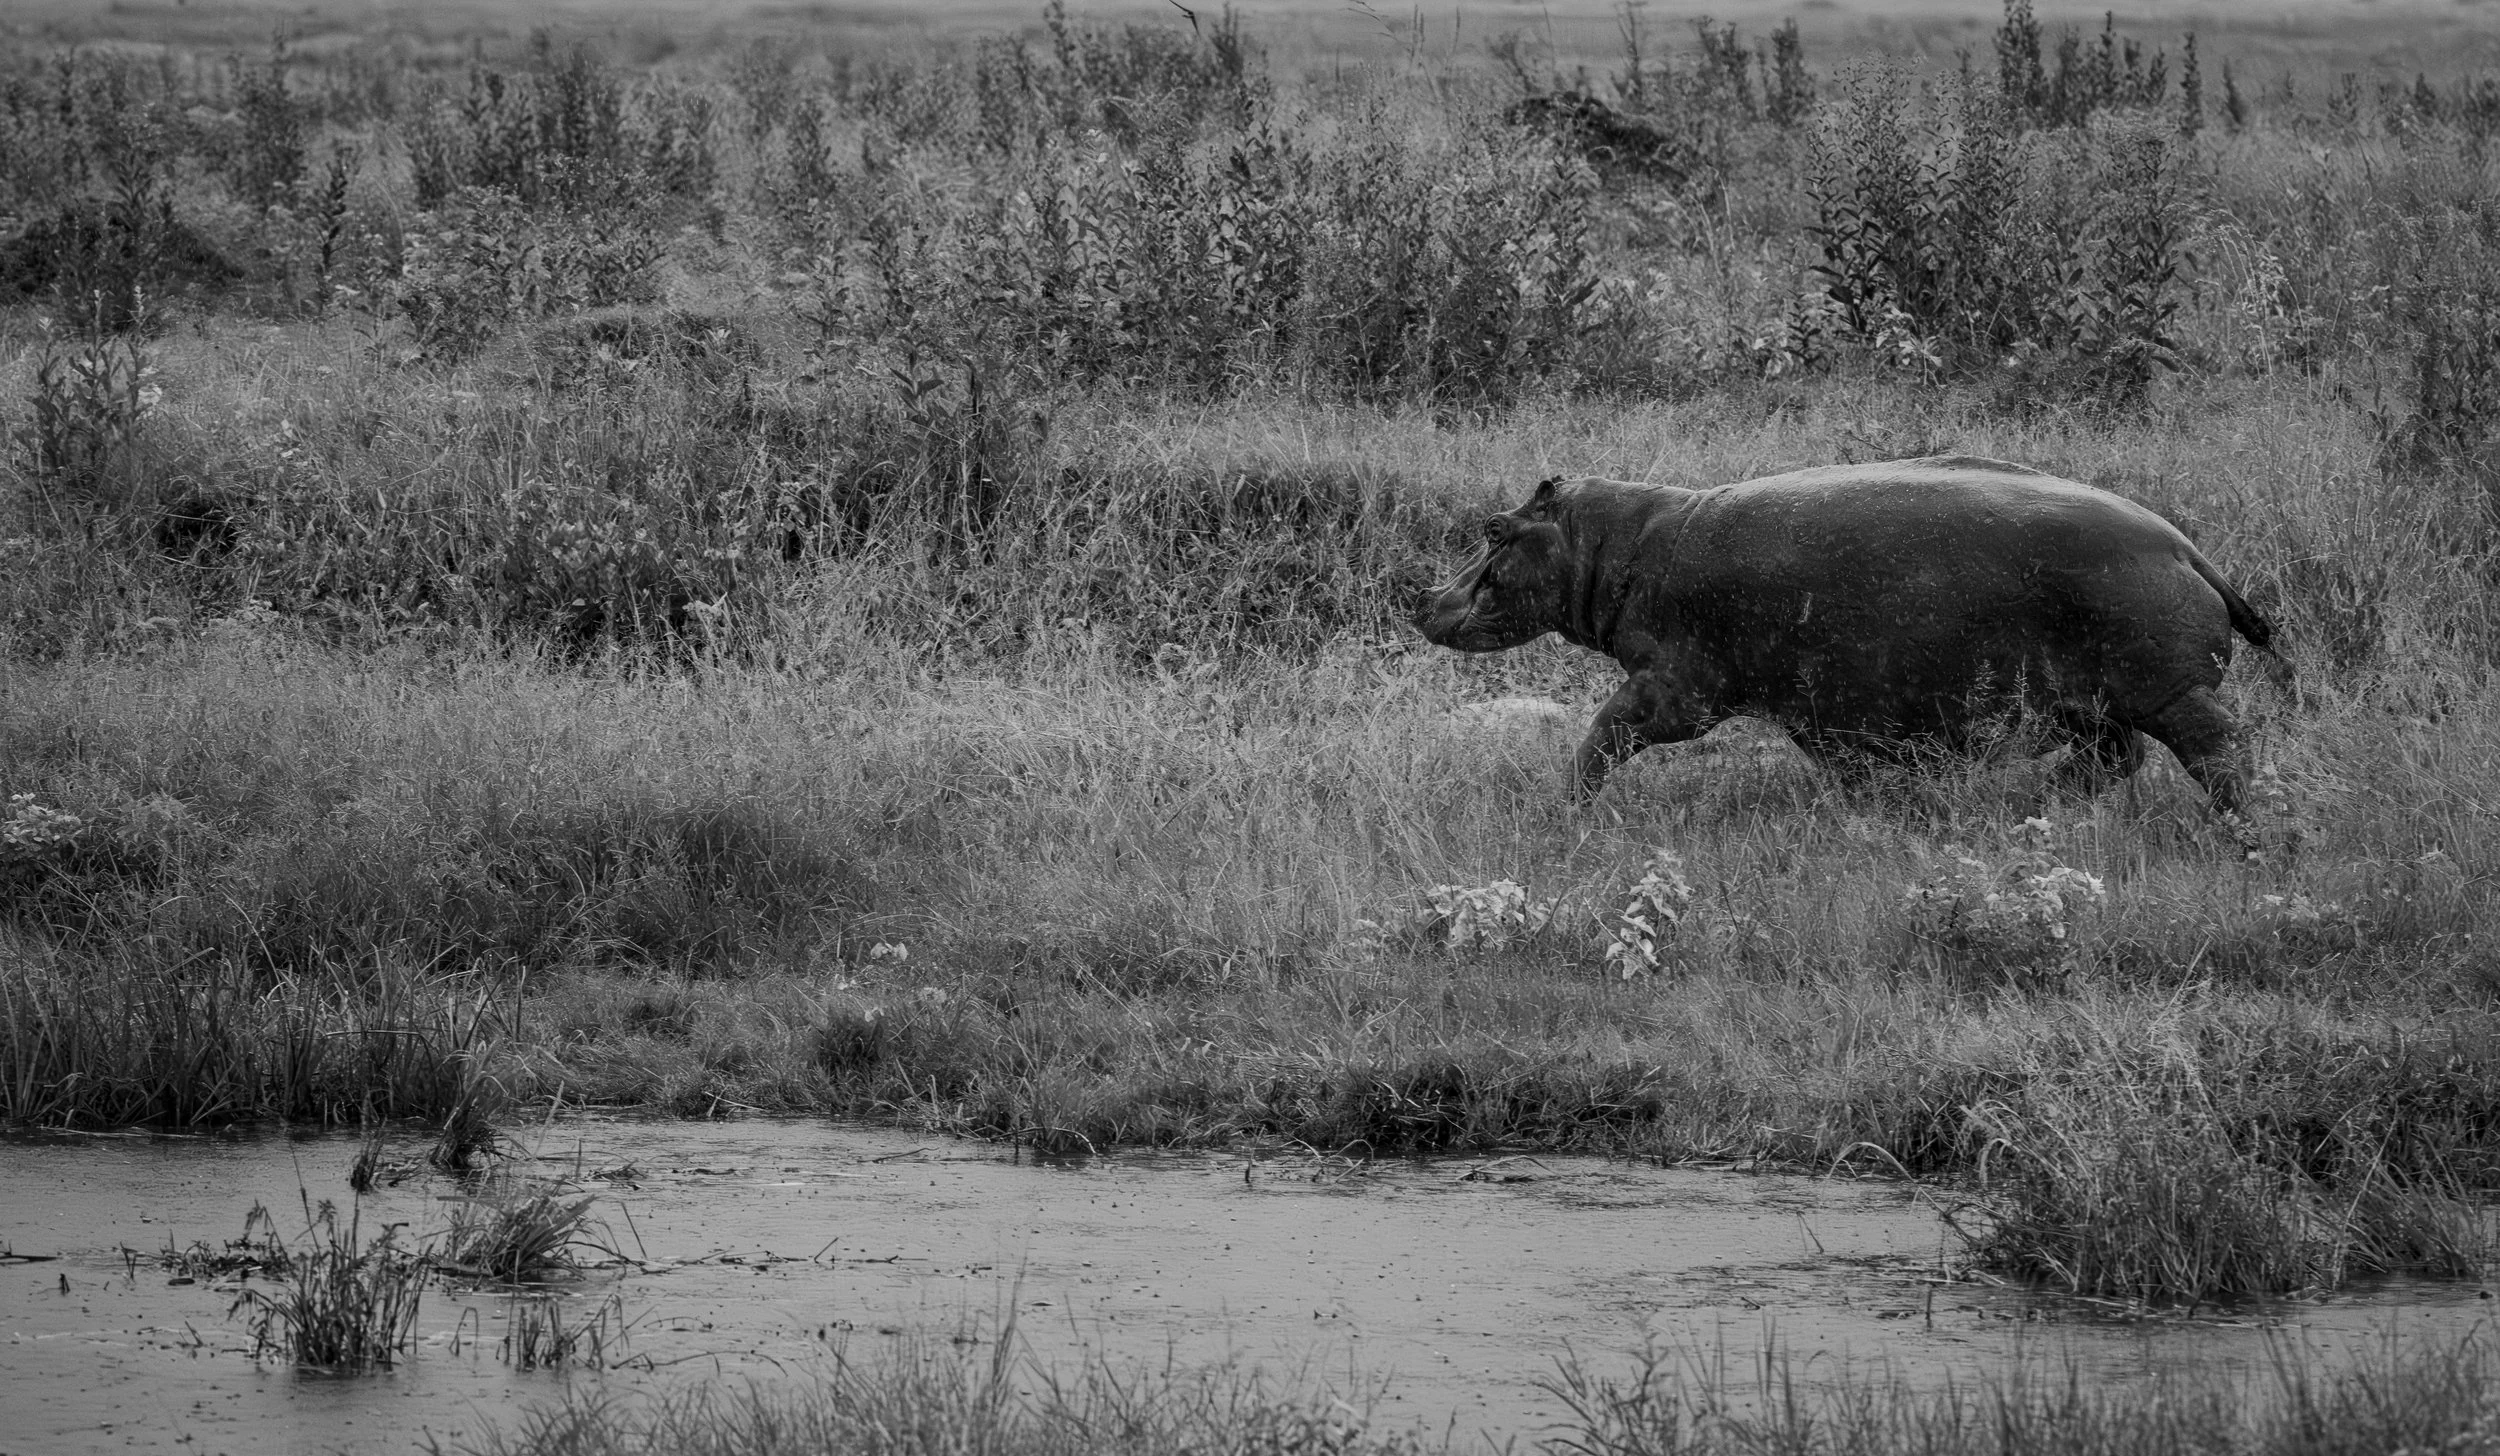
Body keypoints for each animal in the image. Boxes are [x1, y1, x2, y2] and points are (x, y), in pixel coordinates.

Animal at [1412, 457, 2282, 811]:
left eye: (1494, 529)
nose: (1422, 597)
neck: (1614, 544)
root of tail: (2188, 550)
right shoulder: (1825, 704)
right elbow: (1848, 767)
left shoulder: (1676, 689)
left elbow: (1606, 730)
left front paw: (1568, 805)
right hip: (2088, 700)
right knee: (2115, 758)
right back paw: (2031, 798)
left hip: (2167, 692)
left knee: (2216, 751)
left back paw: (2243, 827)